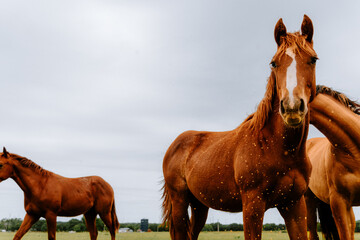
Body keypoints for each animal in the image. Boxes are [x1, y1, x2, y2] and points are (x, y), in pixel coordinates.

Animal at [162, 14, 316, 240]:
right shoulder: (253, 205)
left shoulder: (294, 205)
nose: (292, 107)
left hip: (199, 205)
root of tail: (175, 144)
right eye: (274, 63)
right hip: (180, 201)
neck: (277, 147)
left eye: (313, 59)